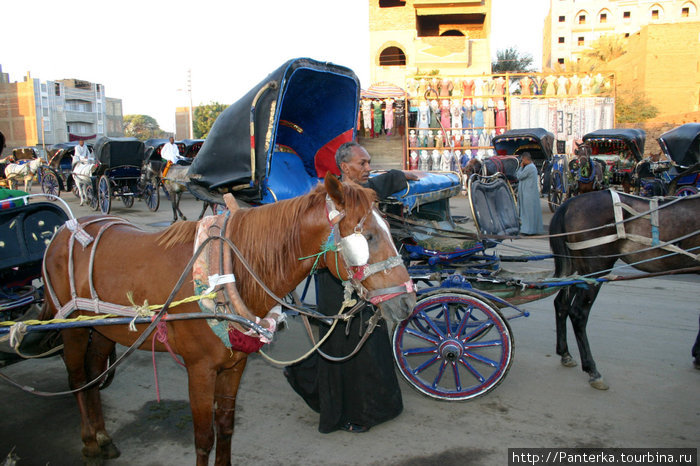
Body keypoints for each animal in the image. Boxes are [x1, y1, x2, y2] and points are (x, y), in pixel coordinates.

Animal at [41, 176, 416, 466]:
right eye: (369, 237)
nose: (409, 302)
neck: (226, 271)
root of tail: (64, 231)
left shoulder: (234, 365)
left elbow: (226, 426)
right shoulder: (200, 370)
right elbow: (204, 437)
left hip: (104, 329)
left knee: (93, 370)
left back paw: (104, 437)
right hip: (72, 328)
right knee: (78, 377)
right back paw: (89, 442)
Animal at [548, 189, 696, 390]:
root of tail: (568, 203)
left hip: (576, 267)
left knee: (562, 304)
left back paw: (565, 354)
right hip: (595, 269)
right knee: (578, 313)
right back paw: (592, 370)